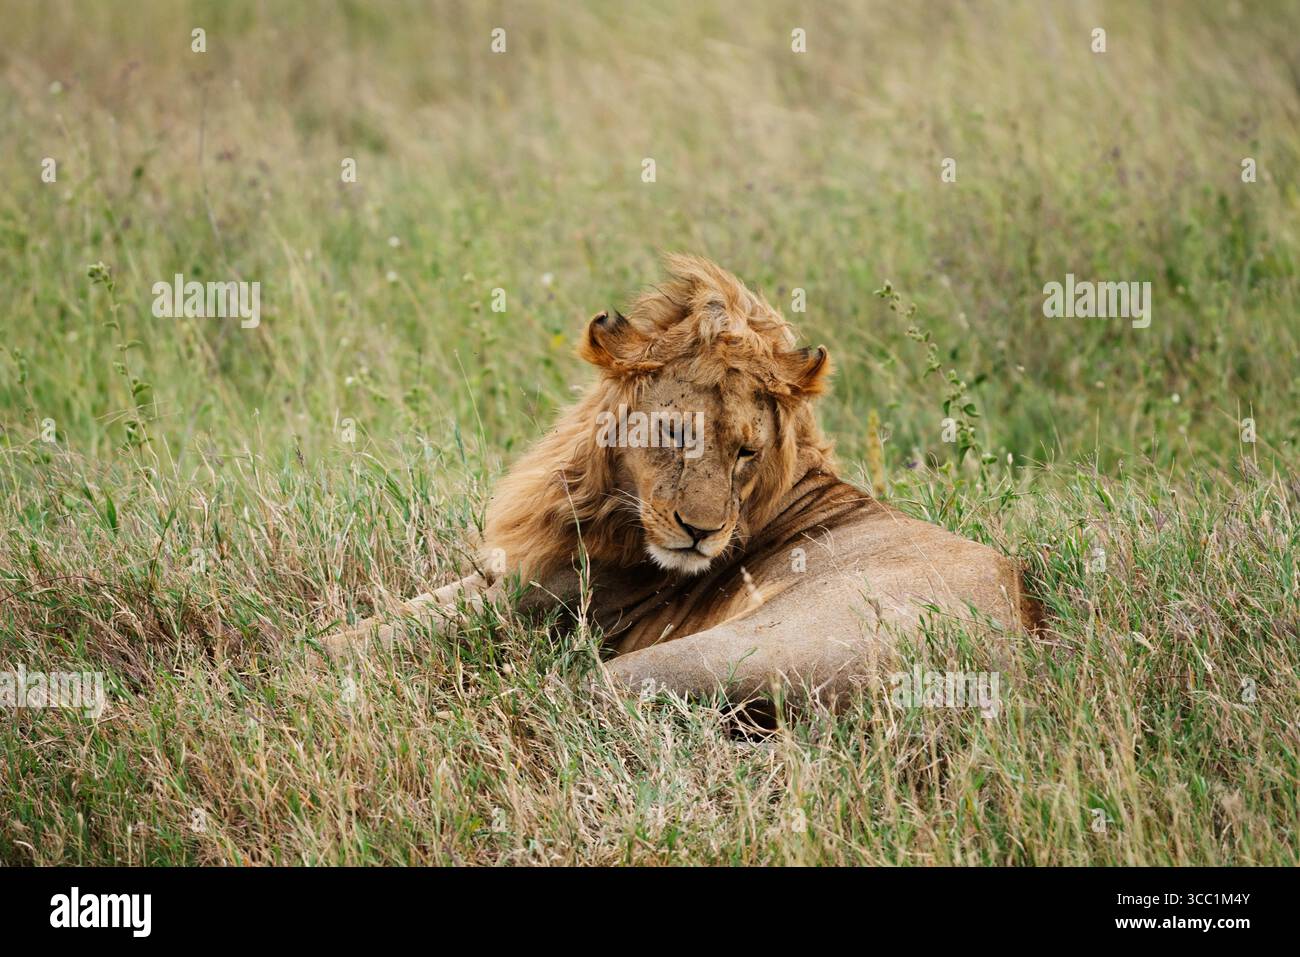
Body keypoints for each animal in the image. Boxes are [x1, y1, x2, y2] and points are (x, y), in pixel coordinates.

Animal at [322, 255, 1039, 706]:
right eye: (674, 434)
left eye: (746, 450)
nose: (700, 533)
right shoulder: (513, 570)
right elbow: (398, 610)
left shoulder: (540, 602)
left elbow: (386, 636)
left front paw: (307, 658)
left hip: (702, 652)